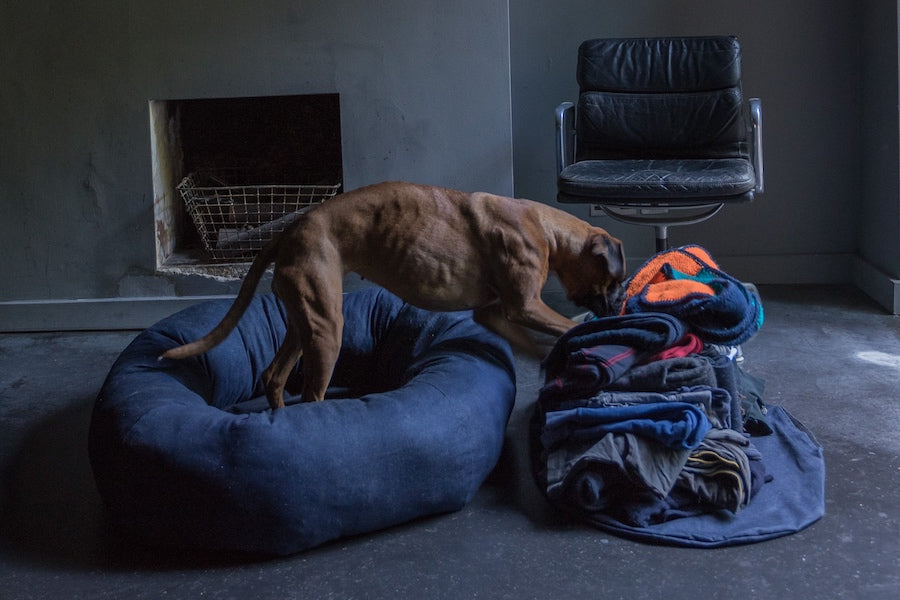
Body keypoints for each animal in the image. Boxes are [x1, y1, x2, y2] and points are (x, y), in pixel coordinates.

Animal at [160, 182, 624, 408]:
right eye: (612, 282)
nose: (615, 305)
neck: (545, 226)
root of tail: (287, 233)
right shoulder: (525, 306)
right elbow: (563, 327)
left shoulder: (495, 314)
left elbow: (537, 343)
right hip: (326, 330)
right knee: (312, 398)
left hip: (303, 321)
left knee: (274, 377)